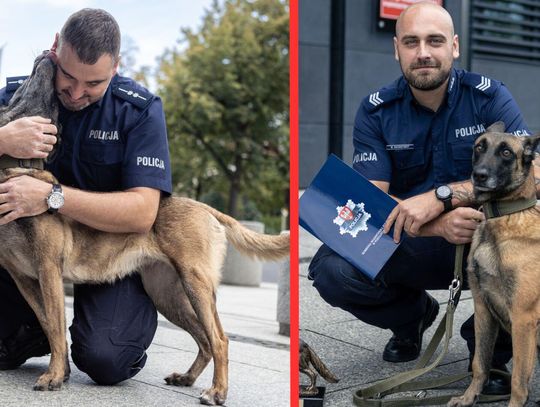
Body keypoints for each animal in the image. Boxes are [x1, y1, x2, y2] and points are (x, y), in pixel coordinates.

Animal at [0, 51, 292, 404]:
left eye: (51, 103)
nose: (46, 55)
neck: (16, 170)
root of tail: (204, 207)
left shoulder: (48, 271)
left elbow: (56, 327)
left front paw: (54, 376)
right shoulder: (25, 279)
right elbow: (47, 324)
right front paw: (63, 371)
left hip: (195, 284)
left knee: (219, 339)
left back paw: (217, 391)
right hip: (170, 295)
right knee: (205, 341)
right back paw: (188, 378)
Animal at [448, 122, 540, 407]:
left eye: (507, 153)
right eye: (479, 147)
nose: (479, 175)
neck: (503, 217)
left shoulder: (523, 318)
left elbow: (519, 381)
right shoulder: (483, 308)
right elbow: (480, 363)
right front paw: (468, 397)